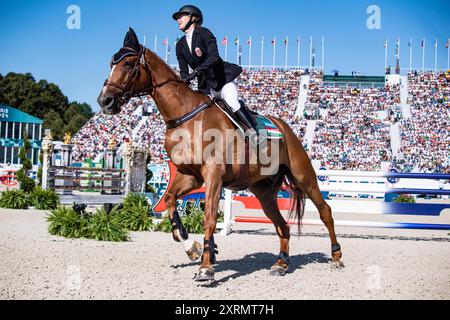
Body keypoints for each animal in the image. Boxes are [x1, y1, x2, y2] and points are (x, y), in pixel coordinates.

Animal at [98, 28, 342, 282]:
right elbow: (169, 200)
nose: (105, 101)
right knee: (282, 225)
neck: (185, 116)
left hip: (303, 177)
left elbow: (209, 218)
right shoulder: (190, 176)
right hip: (263, 191)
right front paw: (192, 247)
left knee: (325, 211)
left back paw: (335, 256)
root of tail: (287, 128)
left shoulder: (213, 174)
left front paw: (205, 268)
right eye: (111, 64)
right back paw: (281, 263)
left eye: (127, 63)